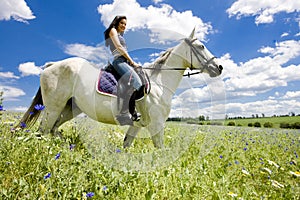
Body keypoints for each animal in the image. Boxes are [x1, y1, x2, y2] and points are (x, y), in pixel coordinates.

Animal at [17, 29, 221, 148]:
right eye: (201, 46)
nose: (219, 68)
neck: (159, 84)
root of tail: (52, 65)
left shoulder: (137, 125)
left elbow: (126, 145)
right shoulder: (156, 124)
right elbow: (160, 148)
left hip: (69, 109)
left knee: (53, 130)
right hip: (53, 108)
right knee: (43, 132)